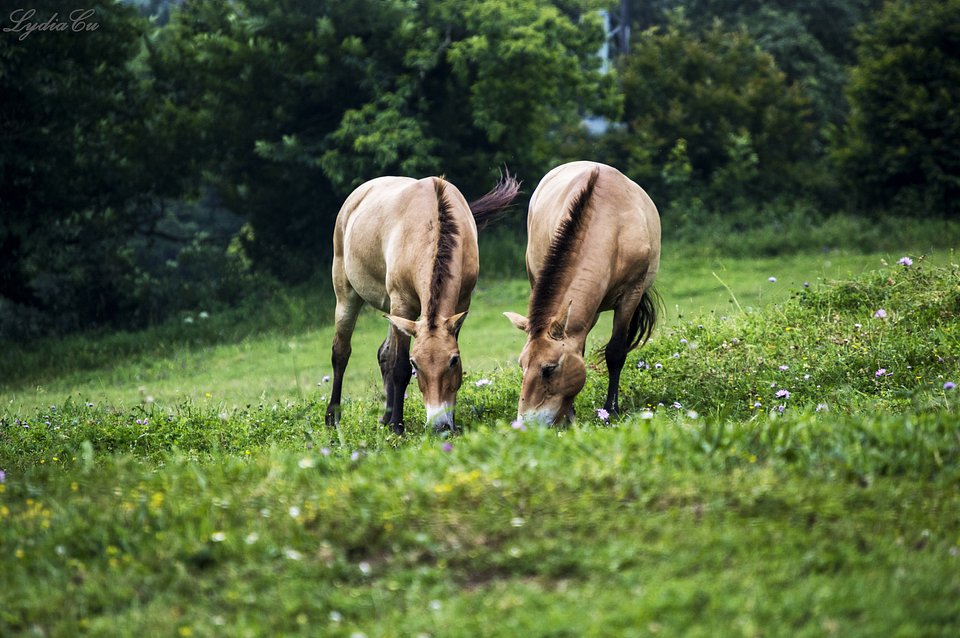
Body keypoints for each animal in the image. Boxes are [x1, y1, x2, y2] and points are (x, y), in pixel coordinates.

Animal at [324, 172, 520, 438]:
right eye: (416, 363)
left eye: (453, 360)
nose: (439, 426)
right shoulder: (402, 304)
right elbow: (399, 367)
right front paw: (397, 426)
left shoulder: (459, 304)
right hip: (347, 294)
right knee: (341, 352)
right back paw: (333, 417)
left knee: (383, 353)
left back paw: (383, 418)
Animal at [502, 162, 660, 428]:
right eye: (522, 365)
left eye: (548, 369)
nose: (526, 423)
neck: (612, 226)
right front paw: (570, 415)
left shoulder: (631, 293)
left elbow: (615, 352)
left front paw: (611, 411)